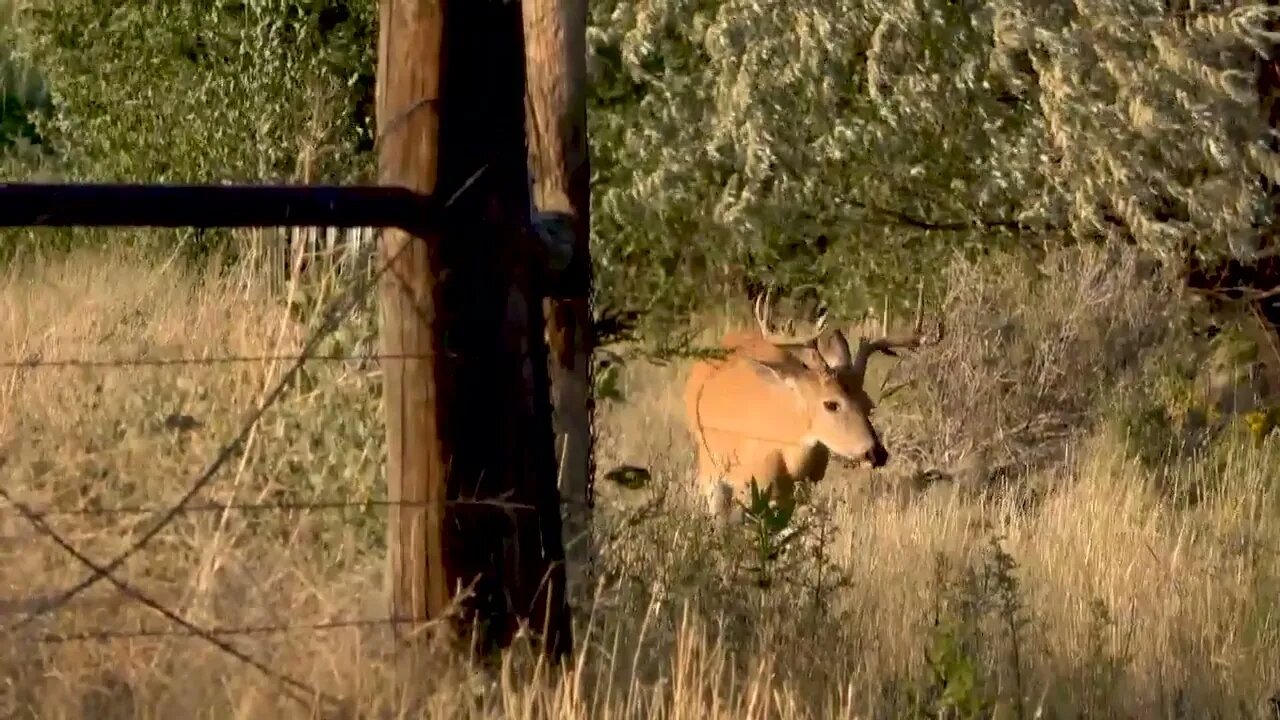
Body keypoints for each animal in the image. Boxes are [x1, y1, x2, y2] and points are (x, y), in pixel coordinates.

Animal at [680, 285, 942, 520]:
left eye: (868, 404)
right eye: (831, 404)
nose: (877, 453)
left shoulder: (800, 490)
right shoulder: (749, 484)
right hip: (708, 463)